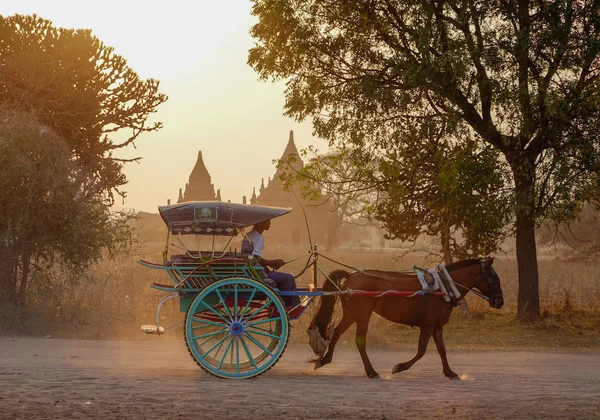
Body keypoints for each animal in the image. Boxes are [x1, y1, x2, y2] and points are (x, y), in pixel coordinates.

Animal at [312, 258, 504, 378]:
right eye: (494, 278)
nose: (500, 301)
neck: (442, 288)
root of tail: (351, 276)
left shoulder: (437, 326)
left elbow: (442, 350)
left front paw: (449, 372)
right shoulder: (427, 326)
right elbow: (421, 351)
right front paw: (399, 367)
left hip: (352, 314)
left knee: (336, 333)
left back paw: (324, 360)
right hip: (362, 314)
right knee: (360, 341)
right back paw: (371, 371)